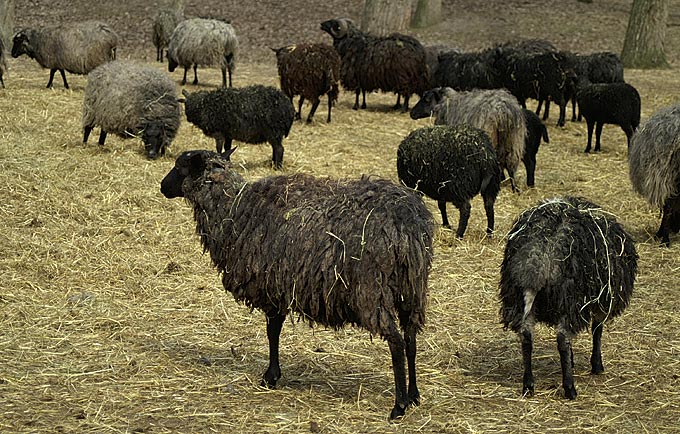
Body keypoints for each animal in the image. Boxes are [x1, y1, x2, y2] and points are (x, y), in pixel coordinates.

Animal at [161, 149, 436, 420]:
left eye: (180, 166)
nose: (162, 186)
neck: (234, 208)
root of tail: (408, 222)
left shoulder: (271, 285)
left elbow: (272, 332)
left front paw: (270, 376)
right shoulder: (280, 287)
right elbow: (275, 330)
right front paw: (272, 374)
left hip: (372, 291)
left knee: (397, 343)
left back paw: (399, 406)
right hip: (412, 288)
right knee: (411, 339)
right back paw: (414, 395)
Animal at [500, 197, 636, 400]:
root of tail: (535, 264)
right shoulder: (599, 301)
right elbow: (597, 331)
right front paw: (596, 365)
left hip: (516, 299)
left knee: (526, 337)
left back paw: (528, 385)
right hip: (569, 301)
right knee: (563, 339)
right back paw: (570, 388)